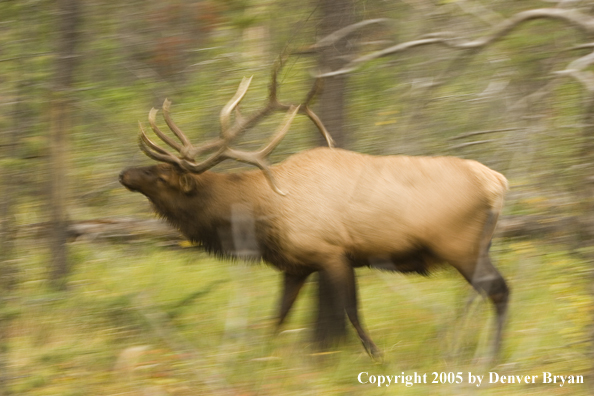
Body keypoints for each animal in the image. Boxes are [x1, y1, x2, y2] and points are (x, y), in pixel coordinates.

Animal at [120, 61, 508, 358]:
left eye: (161, 174)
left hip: (461, 245)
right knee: (483, 294)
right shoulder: (295, 265)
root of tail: (498, 182)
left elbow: (352, 311)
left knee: (498, 290)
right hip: (476, 246)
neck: (262, 218)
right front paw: (260, 356)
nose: (123, 173)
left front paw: (377, 355)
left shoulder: (332, 252)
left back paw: (490, 355)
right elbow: (279, 316)